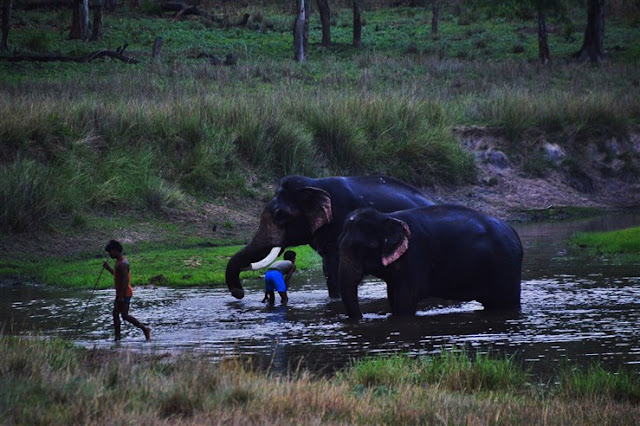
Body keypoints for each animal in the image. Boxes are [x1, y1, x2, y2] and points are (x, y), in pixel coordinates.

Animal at [226, 175, 436, 298]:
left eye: (279, 215)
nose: (239, 293)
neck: (313, 185)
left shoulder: (338, 221)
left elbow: (333, 265)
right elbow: (327, 265)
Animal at [338, 205, 524, 318]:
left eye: (360, 247)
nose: (362, 318)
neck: (386, 217)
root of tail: (514, 233)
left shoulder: (414, 260)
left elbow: (405, 303)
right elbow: (394, 299)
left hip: (505, 268)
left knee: (504, 304)